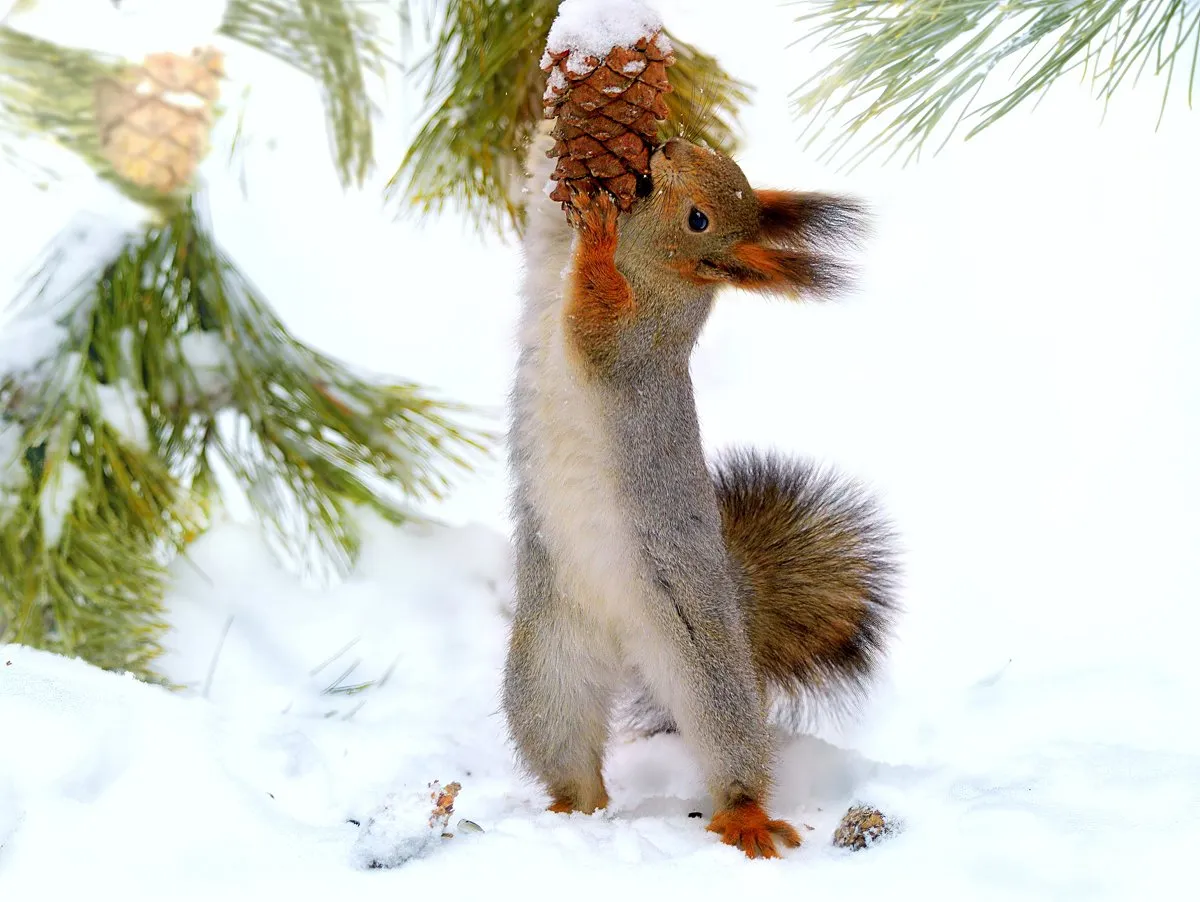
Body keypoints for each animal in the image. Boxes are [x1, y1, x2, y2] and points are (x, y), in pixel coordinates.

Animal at [499, 128, 902, 858]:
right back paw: (569, 810)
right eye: (710, 155)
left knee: (731, 744)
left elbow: (595, 317)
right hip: (550, 664)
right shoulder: (546, 259)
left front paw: (597, 236)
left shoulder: (633, 346)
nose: (665, 144)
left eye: (698, 221)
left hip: (703, 660)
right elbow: (541, 212)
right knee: (568, 749)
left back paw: (745, 816)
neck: (659, 275)